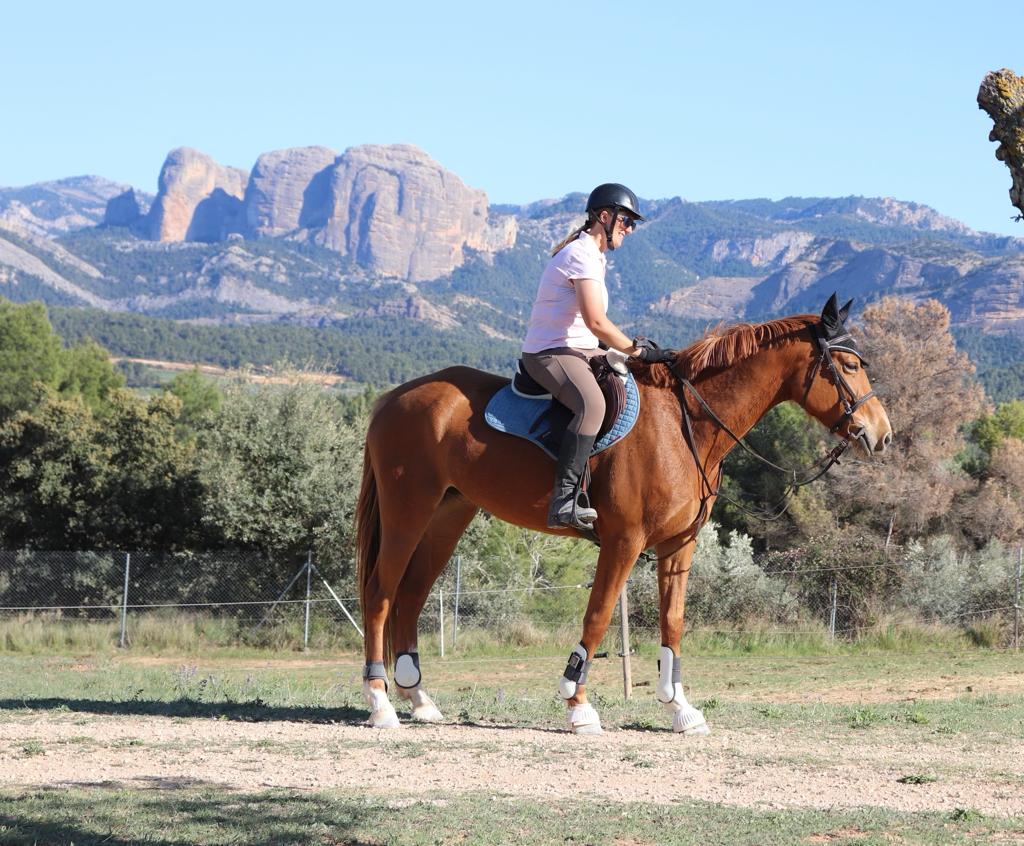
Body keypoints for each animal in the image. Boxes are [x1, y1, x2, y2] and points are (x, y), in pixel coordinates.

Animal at [354, 294, 888, 733]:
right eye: (847, 364)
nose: (881, 434)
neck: (684, 425)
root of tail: (393, 398)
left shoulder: (678, 545)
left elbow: (673, 623)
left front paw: (680, 708)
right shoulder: (624, 541)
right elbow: (597, 616)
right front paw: (578, 706)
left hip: (448, 515)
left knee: (411, 595)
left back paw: (420, 700)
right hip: (408, 511)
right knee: (380, 594)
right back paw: (381, 703)